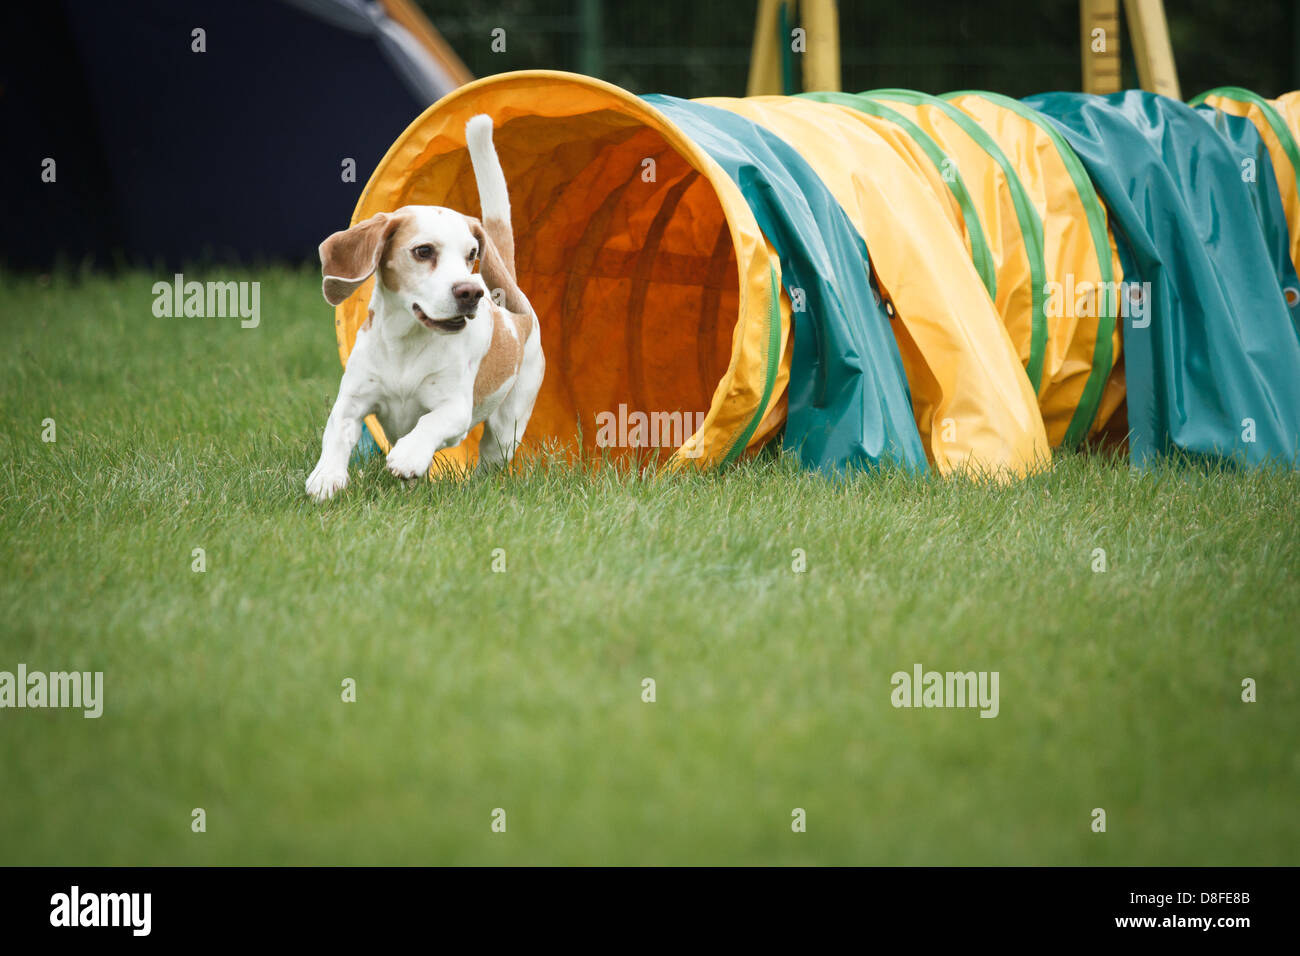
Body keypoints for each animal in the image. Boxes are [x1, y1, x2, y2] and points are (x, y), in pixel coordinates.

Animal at [306, 113, 540, 502]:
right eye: (424, 251)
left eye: (472, 254)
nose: (471, 292)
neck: (407, 342)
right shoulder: (352, 401)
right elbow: (336, 435)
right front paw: (326, 477)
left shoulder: (455, 409)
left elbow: (430, 422)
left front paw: (409, 456)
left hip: (507, 427)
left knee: (492, 456)